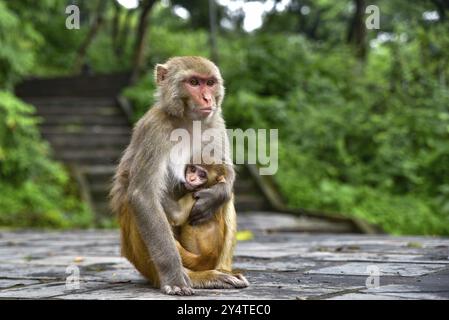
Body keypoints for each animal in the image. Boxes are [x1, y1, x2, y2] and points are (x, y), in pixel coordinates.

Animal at [110, 57, 247, 296]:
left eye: (209, 82)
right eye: (193, 82)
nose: (207, 97)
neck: (187, 121)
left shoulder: (216, 122)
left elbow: (226, 172)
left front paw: (216, 195)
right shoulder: (154, 129)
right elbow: (143, 195)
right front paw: (175, 277)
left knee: (227, 201)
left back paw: (221, 271)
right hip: (140, 258)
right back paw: (196, 277)